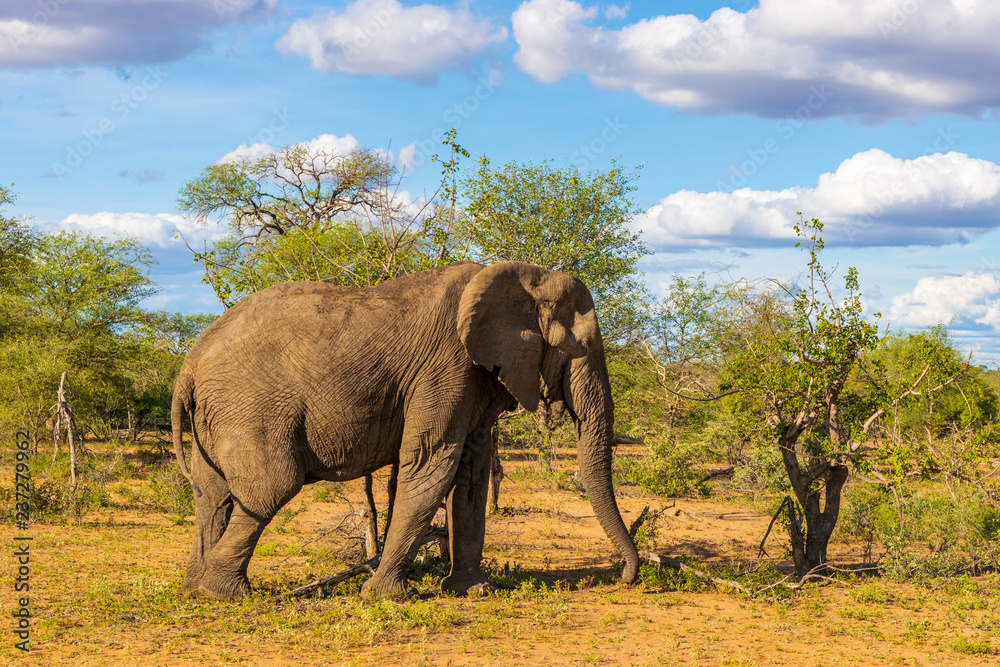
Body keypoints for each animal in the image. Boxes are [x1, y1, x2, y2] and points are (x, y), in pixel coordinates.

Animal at [171, 260, 640, 600]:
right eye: (580, 347)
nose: (626, 577)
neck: (523, 277)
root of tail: (188, 368)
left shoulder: (472, 377)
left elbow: (471, 471)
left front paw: (473, 590)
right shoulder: (446, 366)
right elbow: (434, 463)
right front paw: (389, 596)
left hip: (217, 417)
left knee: (212, 494)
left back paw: (195, 589)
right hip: (251, 409)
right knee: (274, 484)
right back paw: (226, 594)